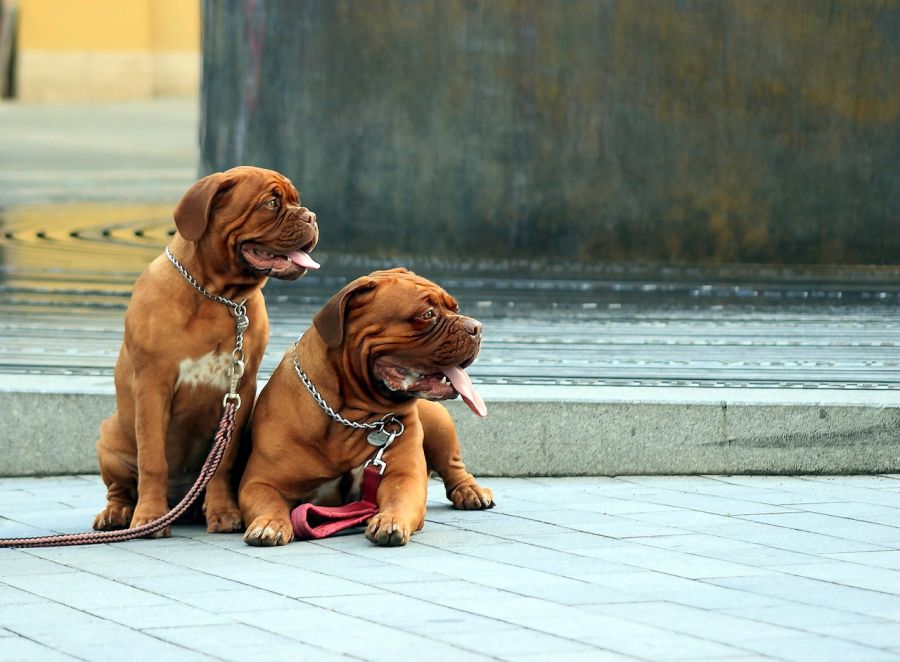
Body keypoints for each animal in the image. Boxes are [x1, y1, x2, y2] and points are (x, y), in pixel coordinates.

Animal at [94, 166, 320, 540]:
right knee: (121, 488)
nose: (311, 216)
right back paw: (118, 513)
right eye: (271, 203)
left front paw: (224, 513)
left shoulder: (240, 390)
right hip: (109, 438)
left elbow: (222, 463)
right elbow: (152, 458)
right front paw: (149, 517)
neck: (218, 297)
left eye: (296, 200)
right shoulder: (153, 386)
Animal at [239, 268, 492, 548]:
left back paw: (470, 491)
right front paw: (269, 524)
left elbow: (399, 499)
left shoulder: (403, 477)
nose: (476, 327)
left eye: (455, 308)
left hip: (439, 424)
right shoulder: (261, 483)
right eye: (427, 315)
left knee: (453, 466)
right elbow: (270, 503)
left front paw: (390, 520)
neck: (350, 415)